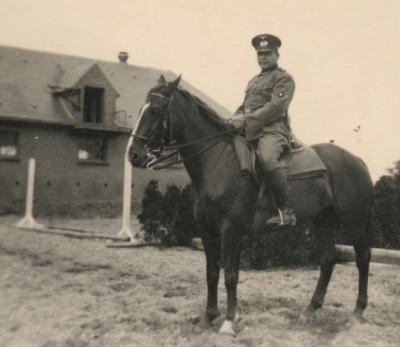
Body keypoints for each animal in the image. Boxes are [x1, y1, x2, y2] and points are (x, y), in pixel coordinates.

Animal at [129, 75, 376, 336]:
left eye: (156, 110)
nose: (133, 154)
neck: (218, 162)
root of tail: (356, 160)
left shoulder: (231, 230)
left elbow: (230, 275)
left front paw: (229, 321)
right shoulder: (208, 232)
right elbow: (211, 274)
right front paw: (209, 317)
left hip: (354, 222)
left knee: (362, 258)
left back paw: (357, 313)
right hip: (322, 222)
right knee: (328, 259)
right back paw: (310, 311)